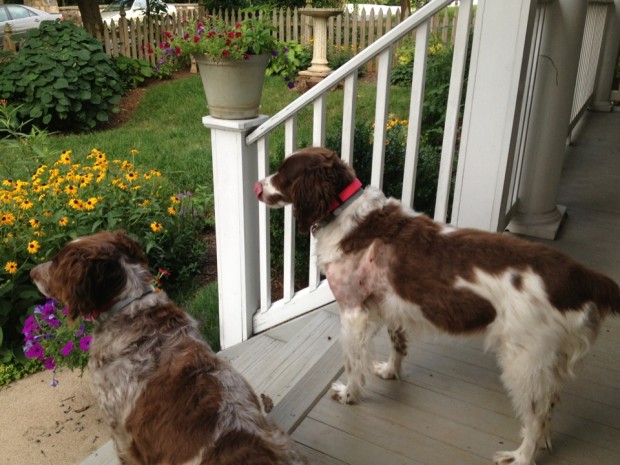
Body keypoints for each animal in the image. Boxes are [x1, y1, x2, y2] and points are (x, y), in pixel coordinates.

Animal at [253, 146, 620, 464]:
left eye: (284, 174)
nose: (257, 186)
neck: (345, 212)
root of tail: (578, 274)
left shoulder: (354, 312)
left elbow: (353, 364)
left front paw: (349, 396)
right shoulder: (391, 305)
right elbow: (397, 345)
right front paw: (390, 372)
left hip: (523, 362)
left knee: (536, 413)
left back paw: (521, 456)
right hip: (547, 360)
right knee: (550, 404)